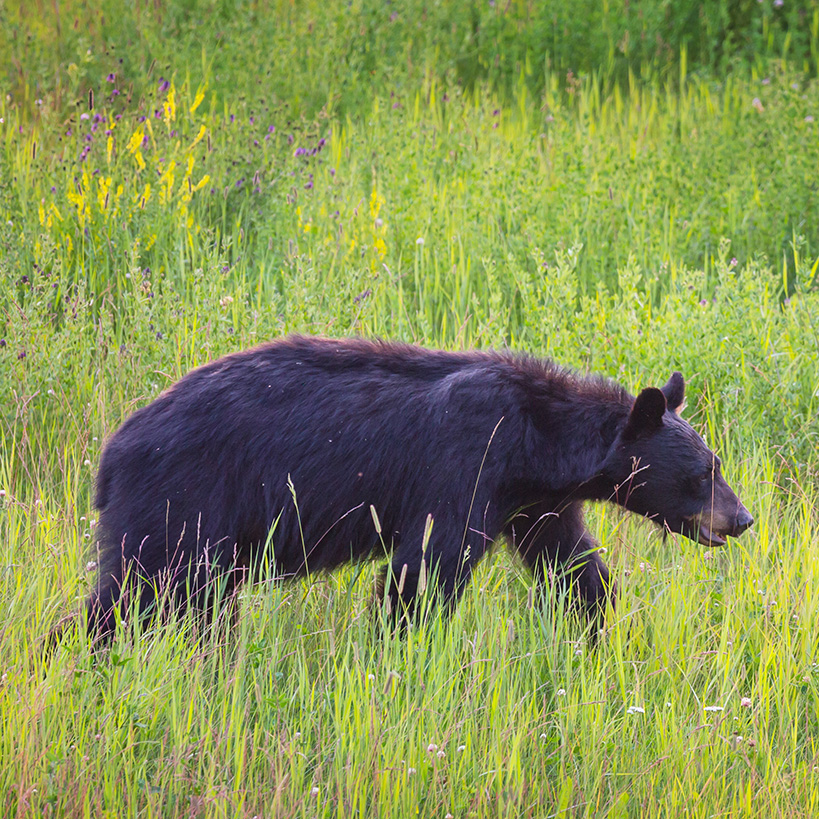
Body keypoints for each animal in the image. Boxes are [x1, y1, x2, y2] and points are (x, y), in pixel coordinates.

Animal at [84, 335, 752, 642]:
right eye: (705, 472)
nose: (742, 519)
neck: (535, 441)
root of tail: (112, 455)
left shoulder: (536, 501)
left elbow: (572, 563)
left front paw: (598, 631)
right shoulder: (465, 467)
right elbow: (425, 567)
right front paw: (396, 645)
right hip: (182, 503)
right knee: (138, 594)